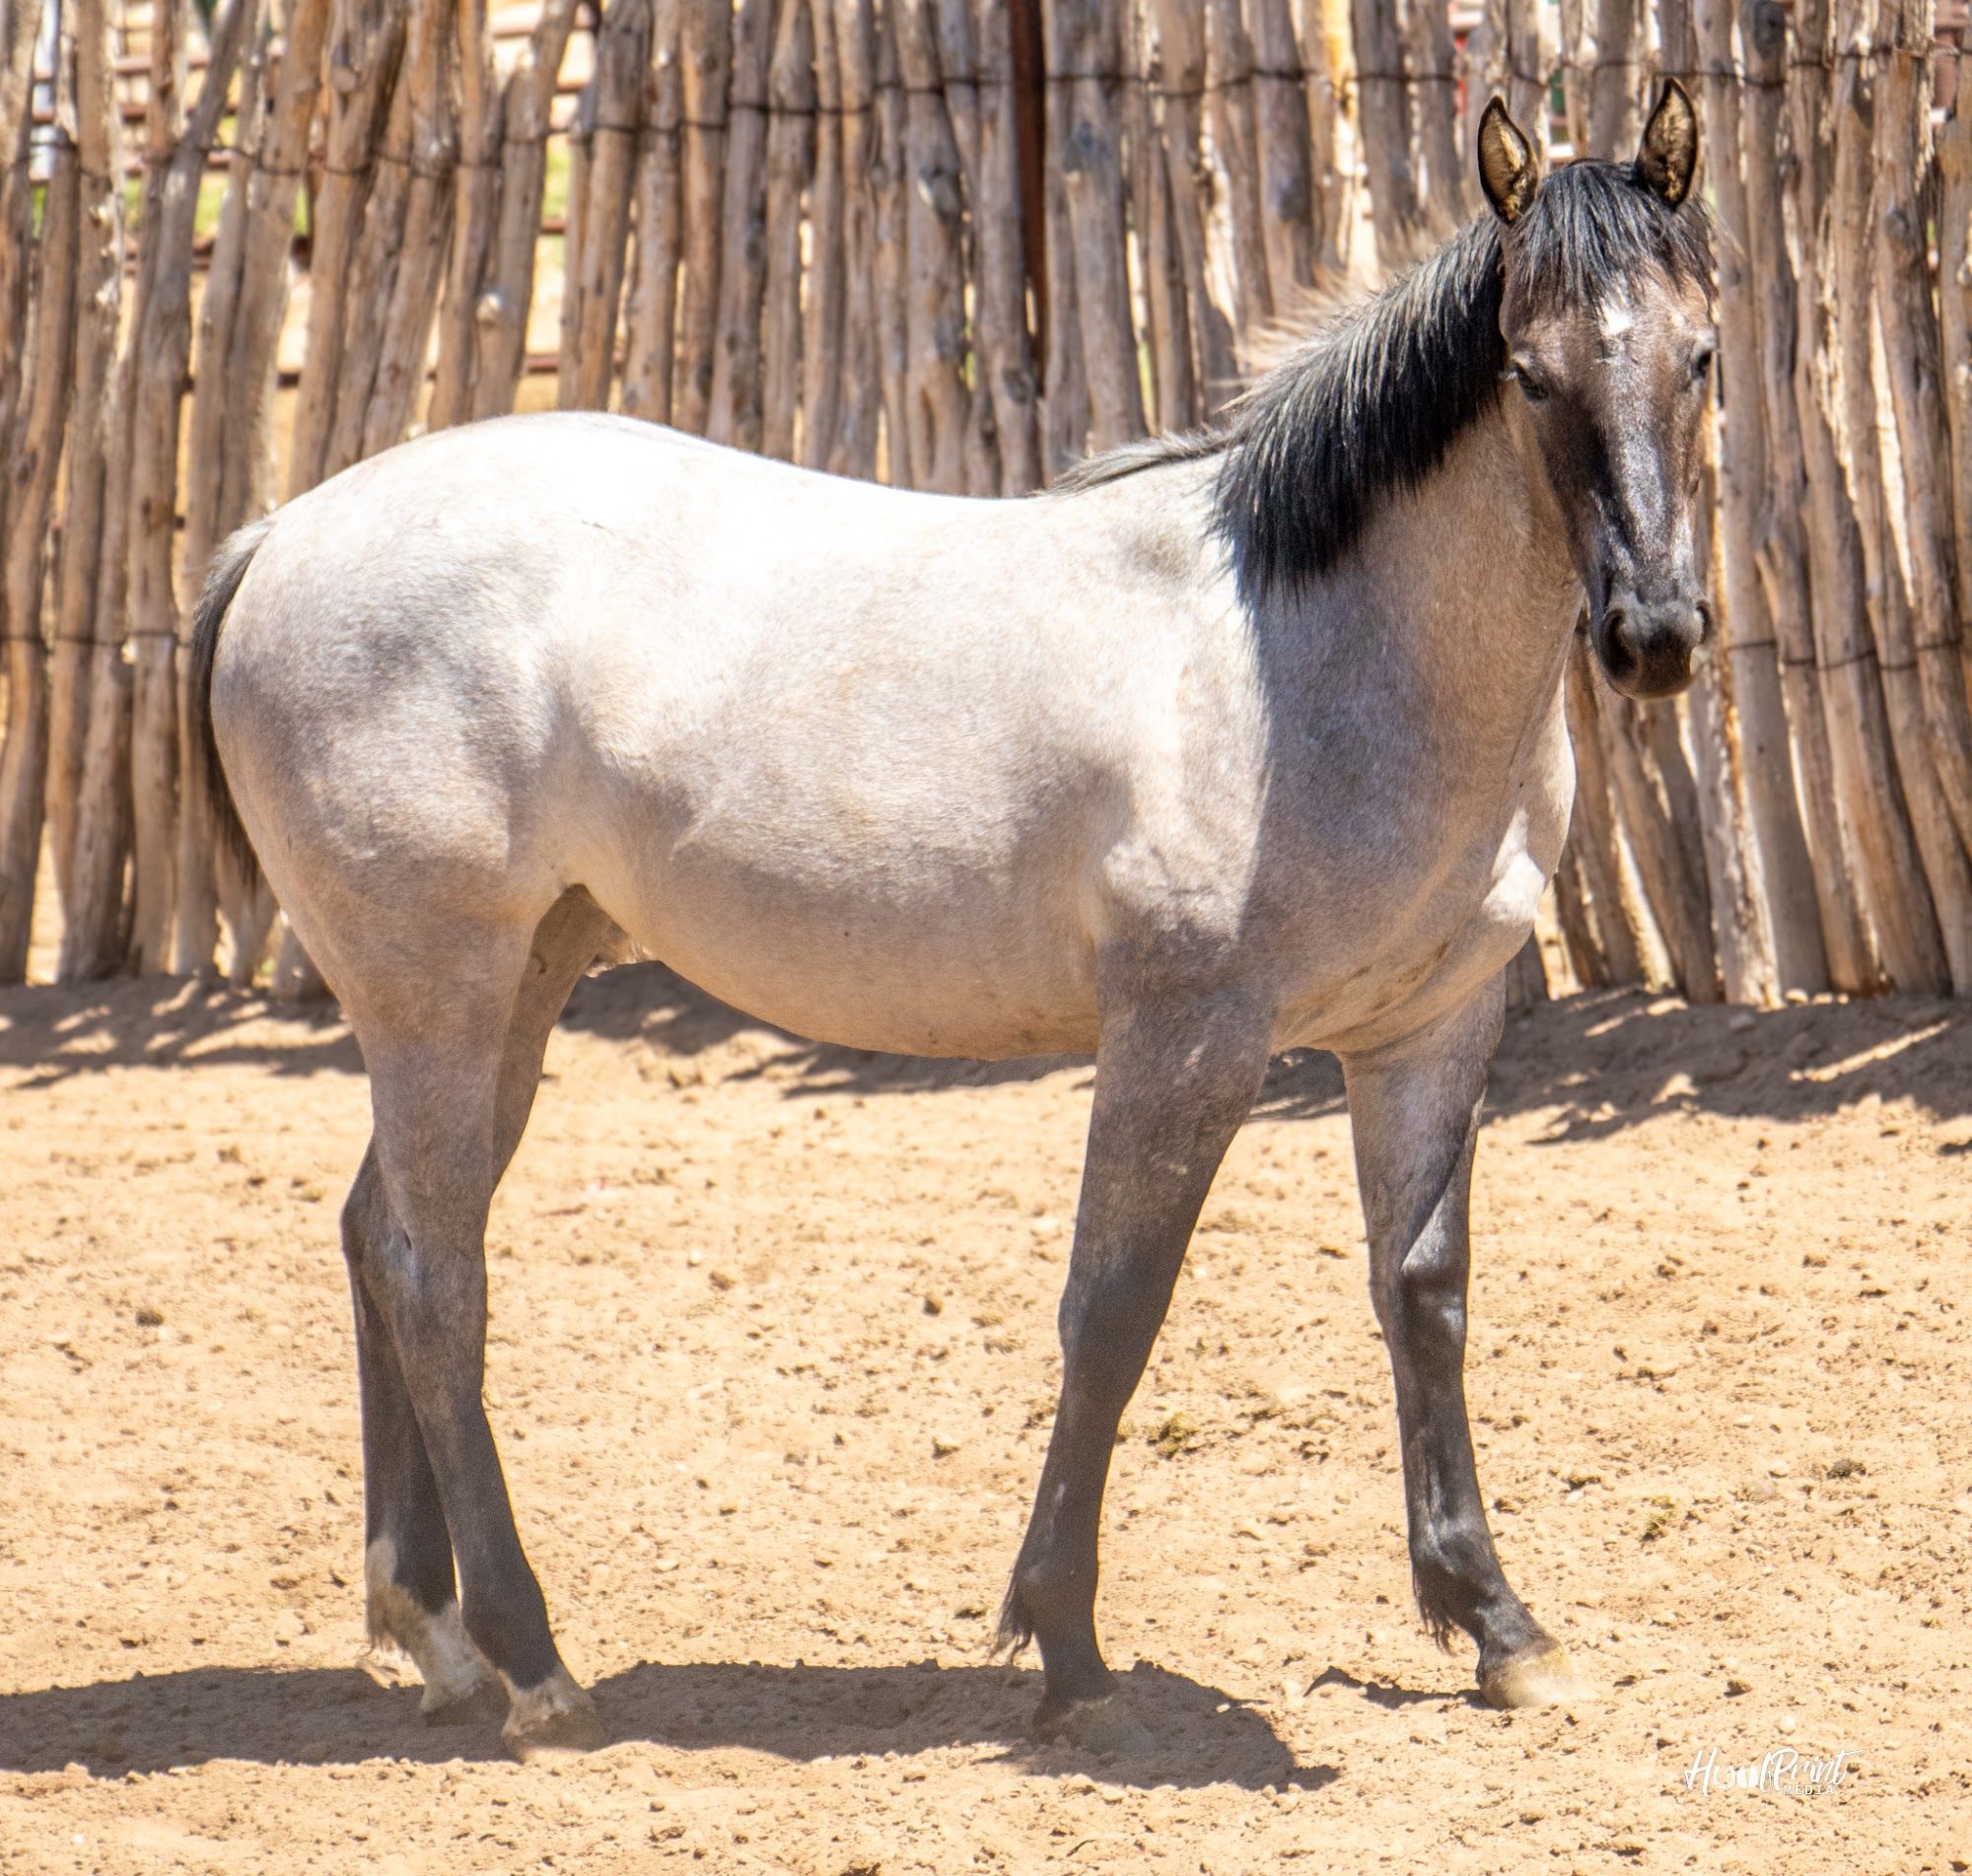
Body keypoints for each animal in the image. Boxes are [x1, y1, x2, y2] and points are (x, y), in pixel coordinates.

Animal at [187, 85, 1715, 1760]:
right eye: (1530, 371)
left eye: (1701, 353)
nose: (1655, 634)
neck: (1317, 652)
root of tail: (281, 534)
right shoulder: (1189, 1034)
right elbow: (1113, 1311)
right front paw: (1067, 1645)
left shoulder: (1431, 1031)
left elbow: (1423, 1296)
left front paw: (1499, 1622)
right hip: (440, 998)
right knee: (434, 1277)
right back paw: (530, 1661)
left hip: (515, 986)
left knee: (377, 1236)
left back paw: (436, 1634)